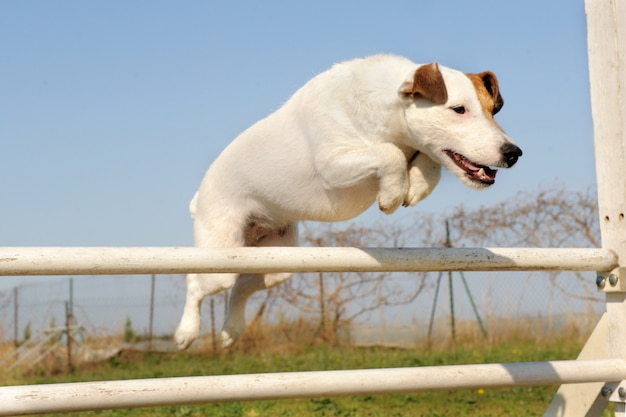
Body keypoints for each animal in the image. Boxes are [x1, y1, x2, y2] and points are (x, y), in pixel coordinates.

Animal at [173, 54, 520, 348]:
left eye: (492, 110)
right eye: (459, 109)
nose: (514, 153)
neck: (383, 110)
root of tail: (197, 199)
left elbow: (426, 159)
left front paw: (416, 185)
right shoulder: (333, 166)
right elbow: (390, 155)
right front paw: (392, 194)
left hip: (275, 262)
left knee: (241, 287)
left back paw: (230, 331)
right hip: (220, 259)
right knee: (195, 282)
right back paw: (185, 333)